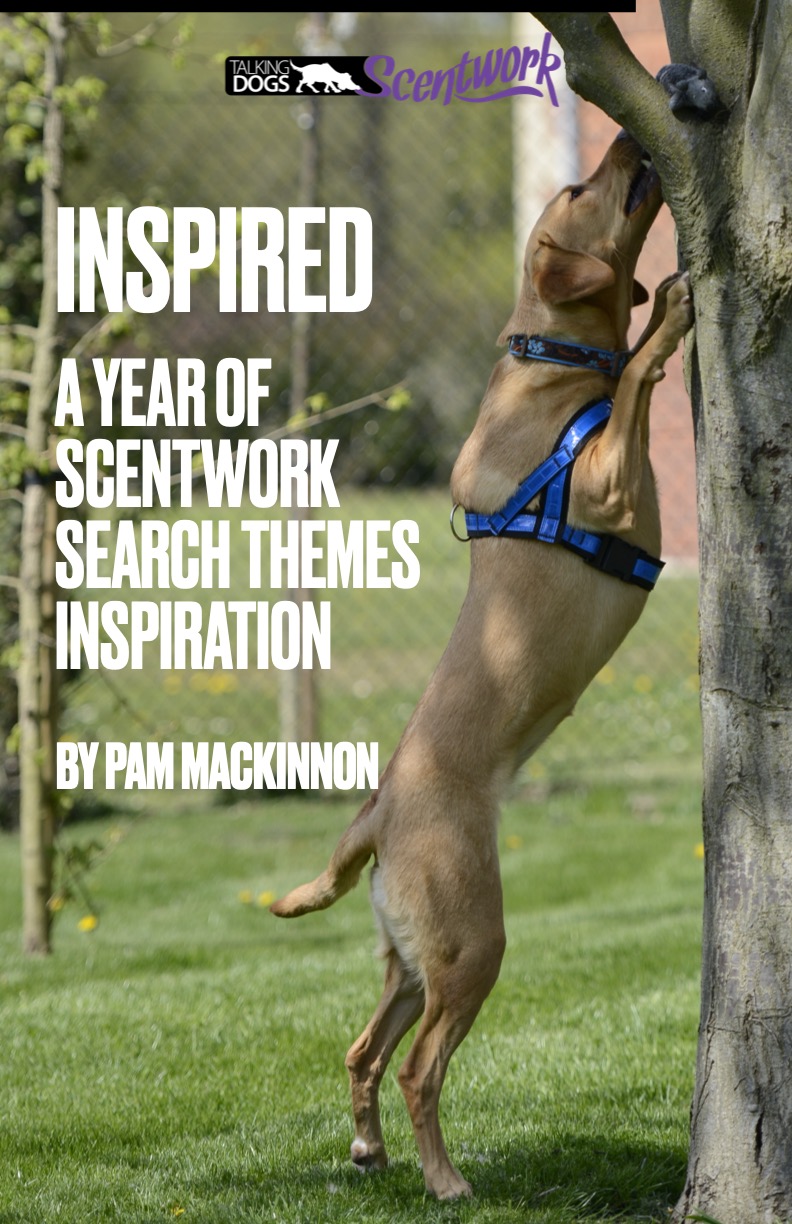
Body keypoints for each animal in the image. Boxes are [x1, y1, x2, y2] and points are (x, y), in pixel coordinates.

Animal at [272, 129, 695, 1199]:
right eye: (581, 185)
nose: (629, 133)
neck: (553, 364)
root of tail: (379, 808)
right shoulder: (606, 483)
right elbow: (635, 379)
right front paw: (668, 316)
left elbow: (628, 374)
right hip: (474, 942)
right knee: (419, 1067)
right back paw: (445, 1179)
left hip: (410, 957)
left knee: (361, 1051)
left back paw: (371, 1150)